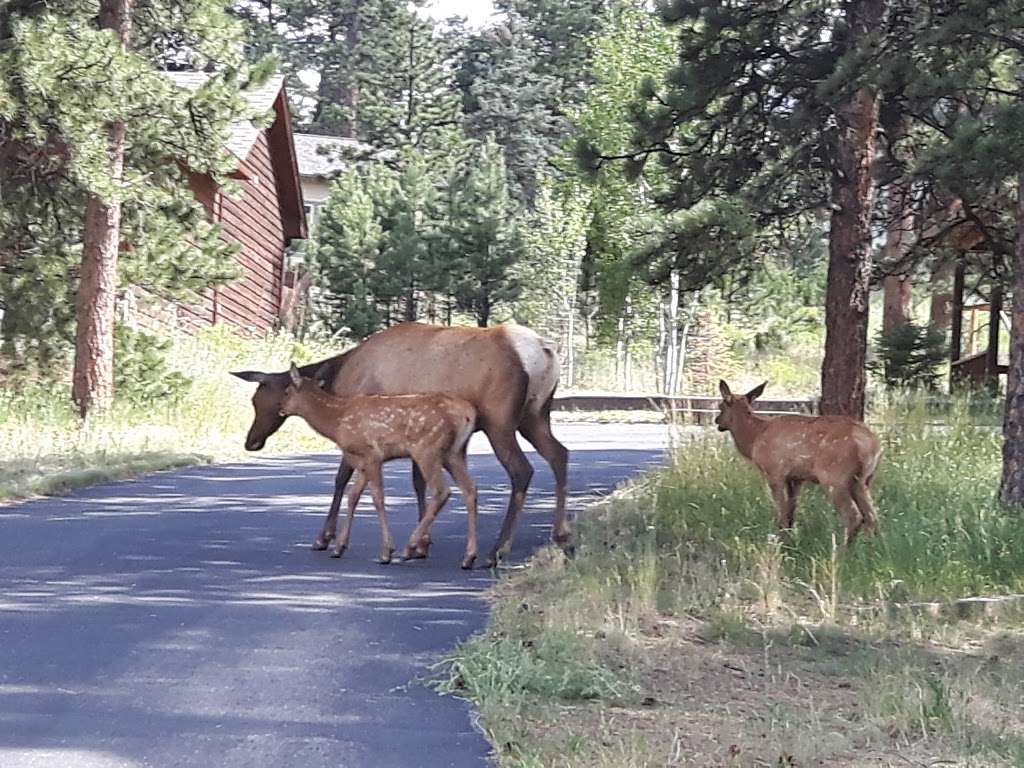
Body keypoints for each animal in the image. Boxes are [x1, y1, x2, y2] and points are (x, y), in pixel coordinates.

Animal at [280, 366, 479, 573]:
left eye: (286, 391)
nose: (280, 408)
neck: (337, 421)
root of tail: (467, 414)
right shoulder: (362, 461)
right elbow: (353, 496)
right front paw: (339, 547)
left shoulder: (371, 455)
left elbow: (378, 499)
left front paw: (386, 552)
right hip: (454, 453)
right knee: (470, 489)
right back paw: (468, 557)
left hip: (427, 449)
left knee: (442, 491)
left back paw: (409, 548)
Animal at [712, 382, 880, 544]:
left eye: (721, 406)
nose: (717, 421)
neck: (754, 438)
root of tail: (873, 445)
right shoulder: (796, 478)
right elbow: (791, 512)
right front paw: (790, 539)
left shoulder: (774, 472)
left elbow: (782, 512)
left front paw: (781, 541)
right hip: (863, 480)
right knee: (871, 516)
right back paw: (869, 547)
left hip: (835, 477)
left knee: (854, 516)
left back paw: (841, 551)